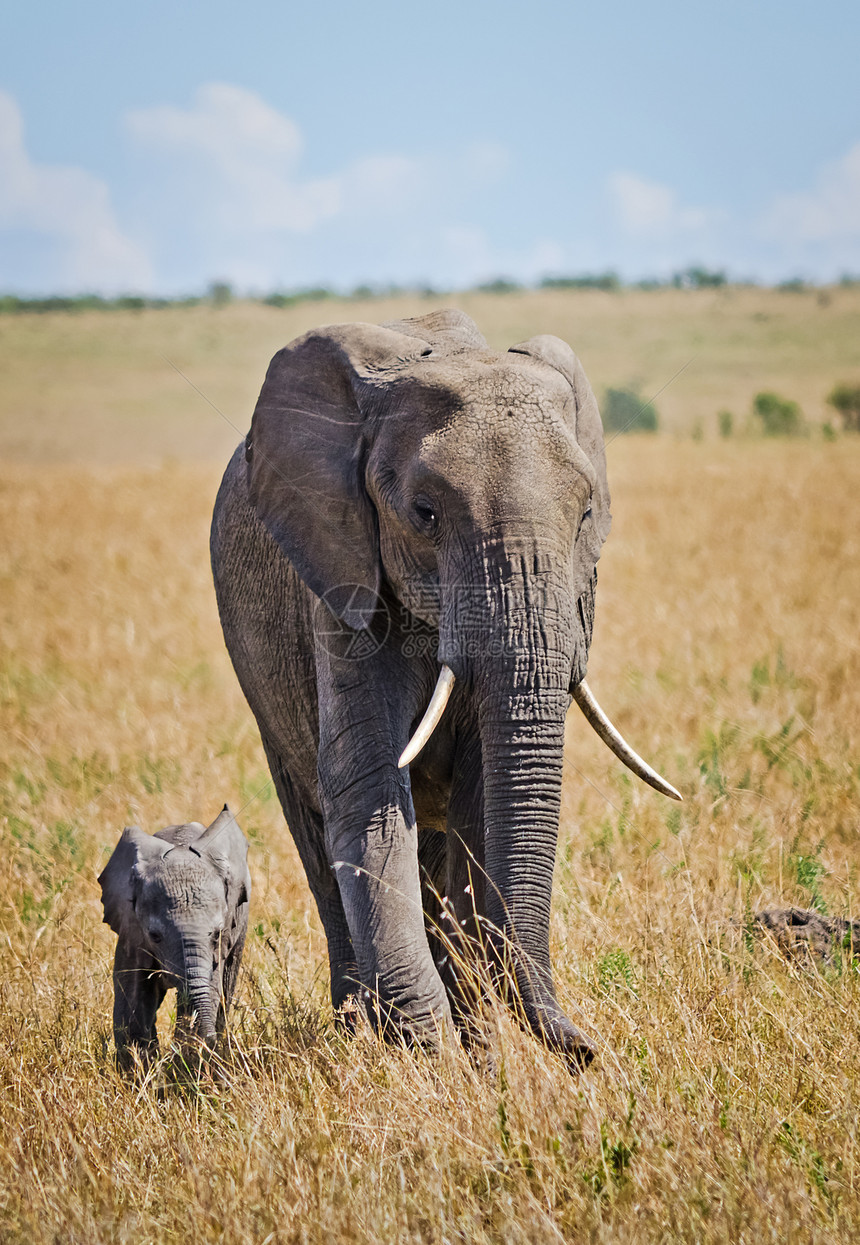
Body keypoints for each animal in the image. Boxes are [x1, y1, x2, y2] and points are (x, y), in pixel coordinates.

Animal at [100, 806, 252, 1070]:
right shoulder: (131, 931)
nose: (210, 1041)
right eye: (155, 936)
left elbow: (209, 990)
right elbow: (134, 1001)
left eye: (217, 933)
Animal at [210, 311, 682, 1070]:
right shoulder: (341, 579)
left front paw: (476, 1054)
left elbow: (478, 806)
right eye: (424, 513)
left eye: (586, 514)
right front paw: (431, 1051)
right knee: (316, 834)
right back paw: (358, 1026)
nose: (589, 1051)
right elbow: (368, 793)